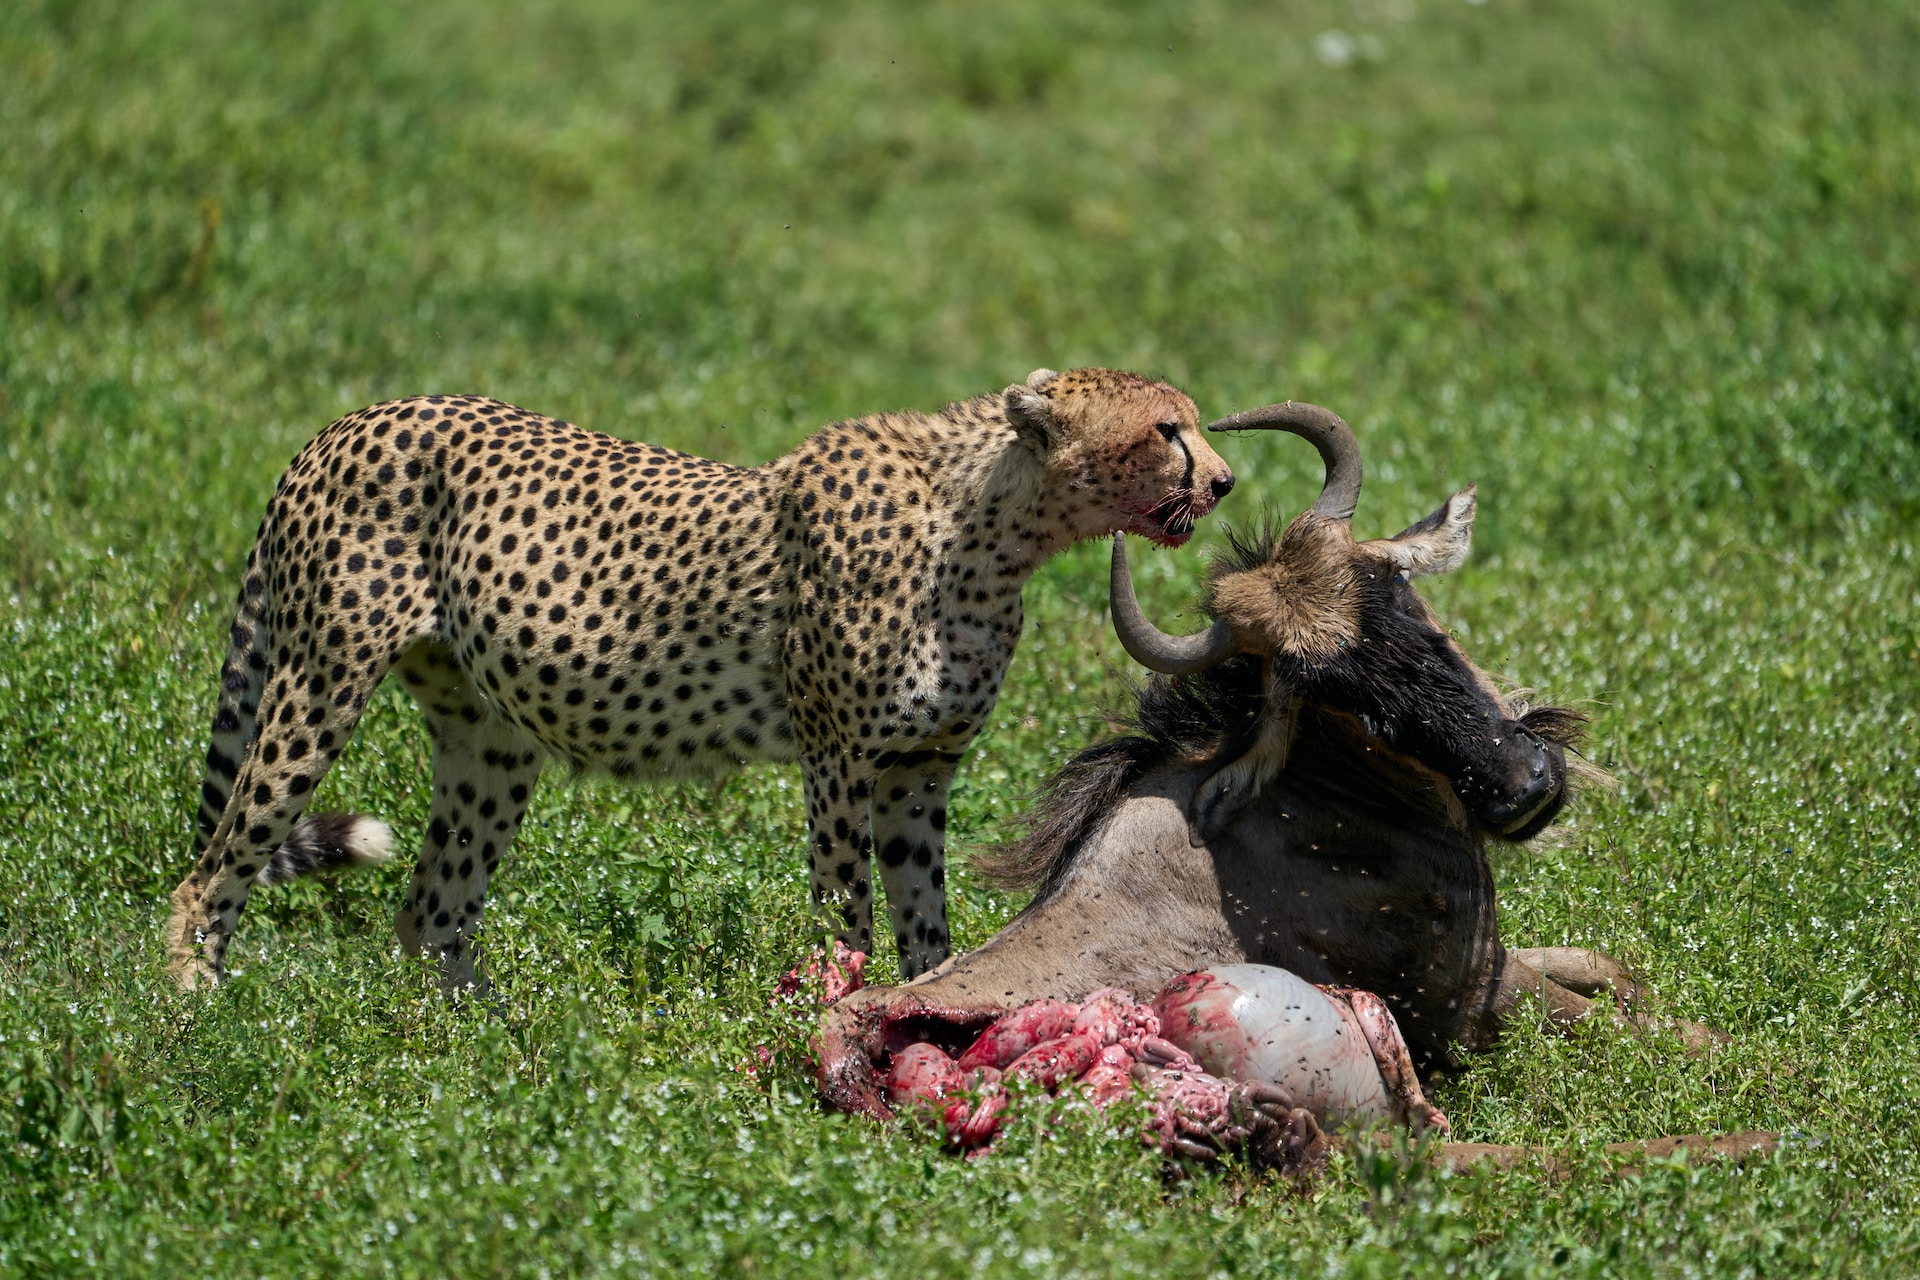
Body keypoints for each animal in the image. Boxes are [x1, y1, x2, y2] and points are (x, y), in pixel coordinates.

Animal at [165, 364, 1228, 990]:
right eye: (1167, 430)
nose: (1221, 481)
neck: (997, 528)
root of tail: (350, 420)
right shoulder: (838, 760)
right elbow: (846, 908)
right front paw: (836, 1008)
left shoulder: (918, 770)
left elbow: (926, 918)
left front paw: (921, 1007)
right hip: (319, 682)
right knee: (210, 871)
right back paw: (199, 1018)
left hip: (489, 740)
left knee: (431, 911)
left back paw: (476, 1049)